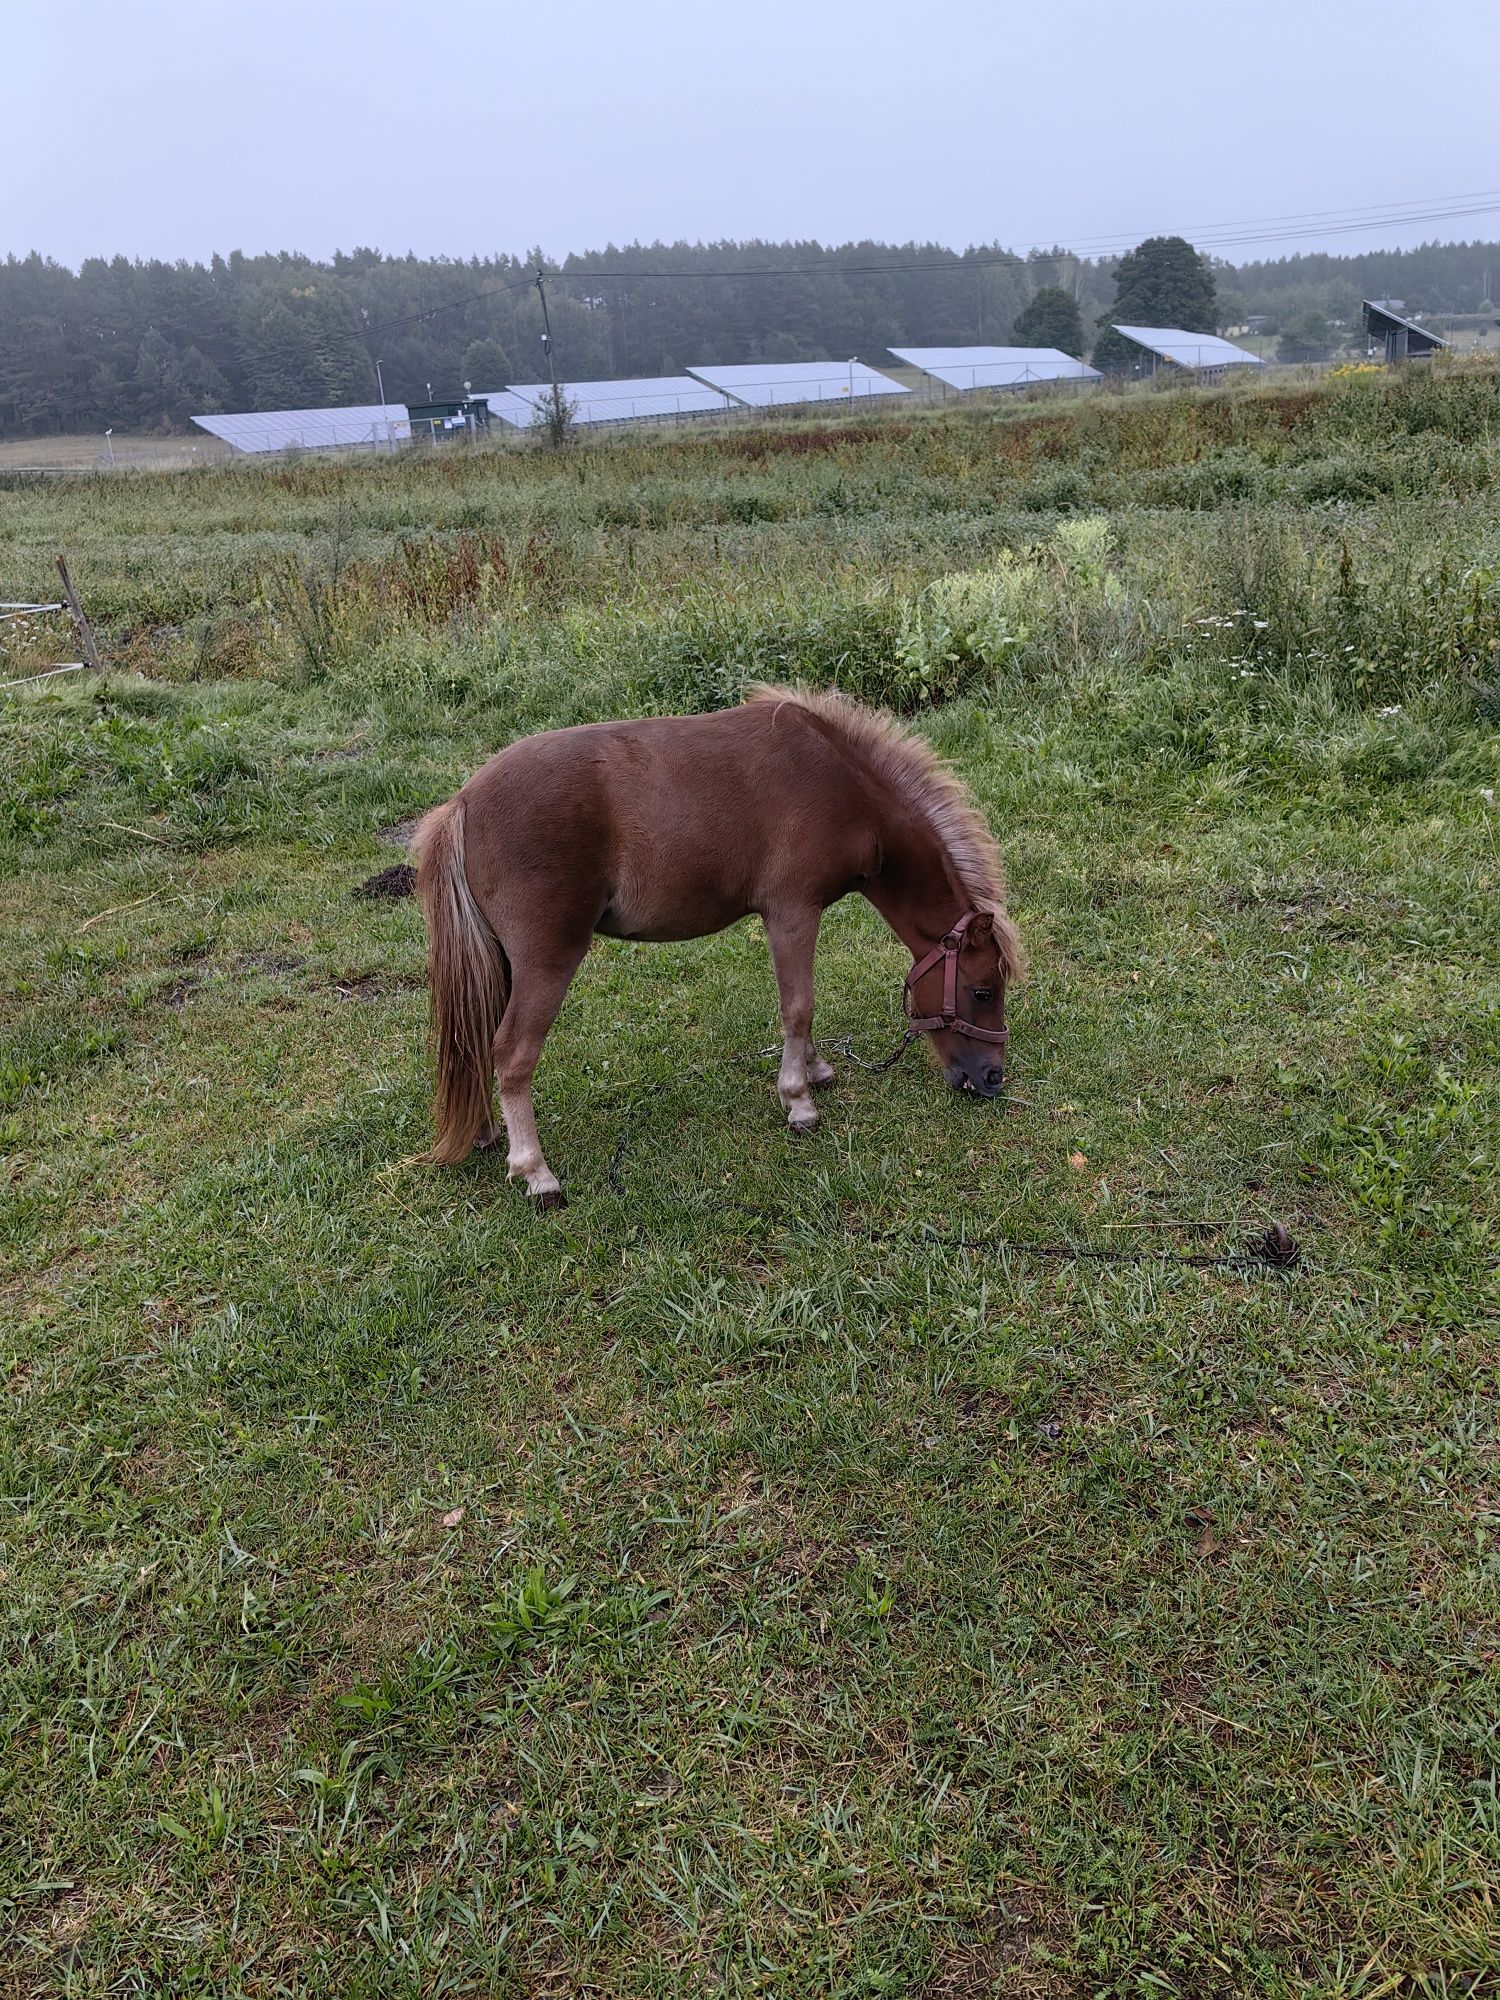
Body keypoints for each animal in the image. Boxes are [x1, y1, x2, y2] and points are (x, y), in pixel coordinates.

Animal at [418, 688, 1032, 1200]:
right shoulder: (791, 914)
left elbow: (800, 1006)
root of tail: (462, 804)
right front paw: (799, 1101)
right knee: (512, 1054)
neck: (840, 782)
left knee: (478, 1041)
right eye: (982, 991)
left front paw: (816, 1071)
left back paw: (486, 1133)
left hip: (502, 965)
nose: (992, 1078)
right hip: (547, 962)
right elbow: (798, 1007)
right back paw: (536, 1173)